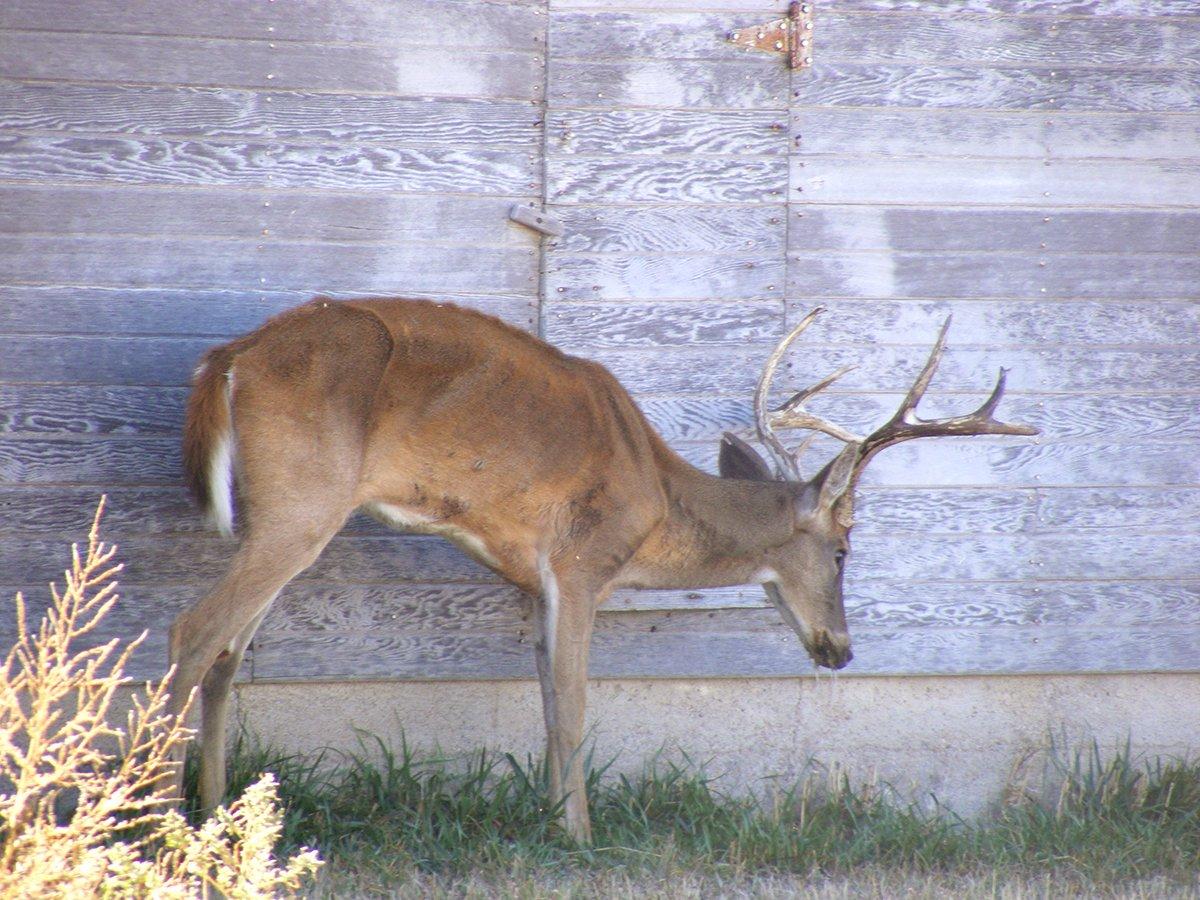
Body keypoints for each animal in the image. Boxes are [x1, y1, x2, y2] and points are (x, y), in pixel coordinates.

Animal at [166, 300, 1032, 844]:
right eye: (847, 548)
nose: (841, 649)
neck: (656, 498)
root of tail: (227, 360)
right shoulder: (583, 562)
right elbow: (576, 709)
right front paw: (581, 838)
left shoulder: (534, 583)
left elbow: (549, 704)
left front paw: (551, 823)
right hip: (303, 500)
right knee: (192, 631)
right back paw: (156, 817)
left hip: (286, 513)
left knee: (226, 655)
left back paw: (219, 814)